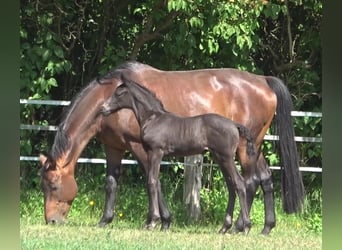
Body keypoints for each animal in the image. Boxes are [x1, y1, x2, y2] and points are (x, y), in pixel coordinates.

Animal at [38, 60, 304, 234]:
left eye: (53, 185)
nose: (51, 221)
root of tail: (263, 81)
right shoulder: (114, 148)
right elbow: (111, 183)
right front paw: (105, 220)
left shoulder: (140, 147)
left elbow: (152, 180)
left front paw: (162, 220)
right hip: (253, 146)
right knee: (264, 178)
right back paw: (266, 227)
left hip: (243, 149)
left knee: (248, 181)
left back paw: (239, 226)